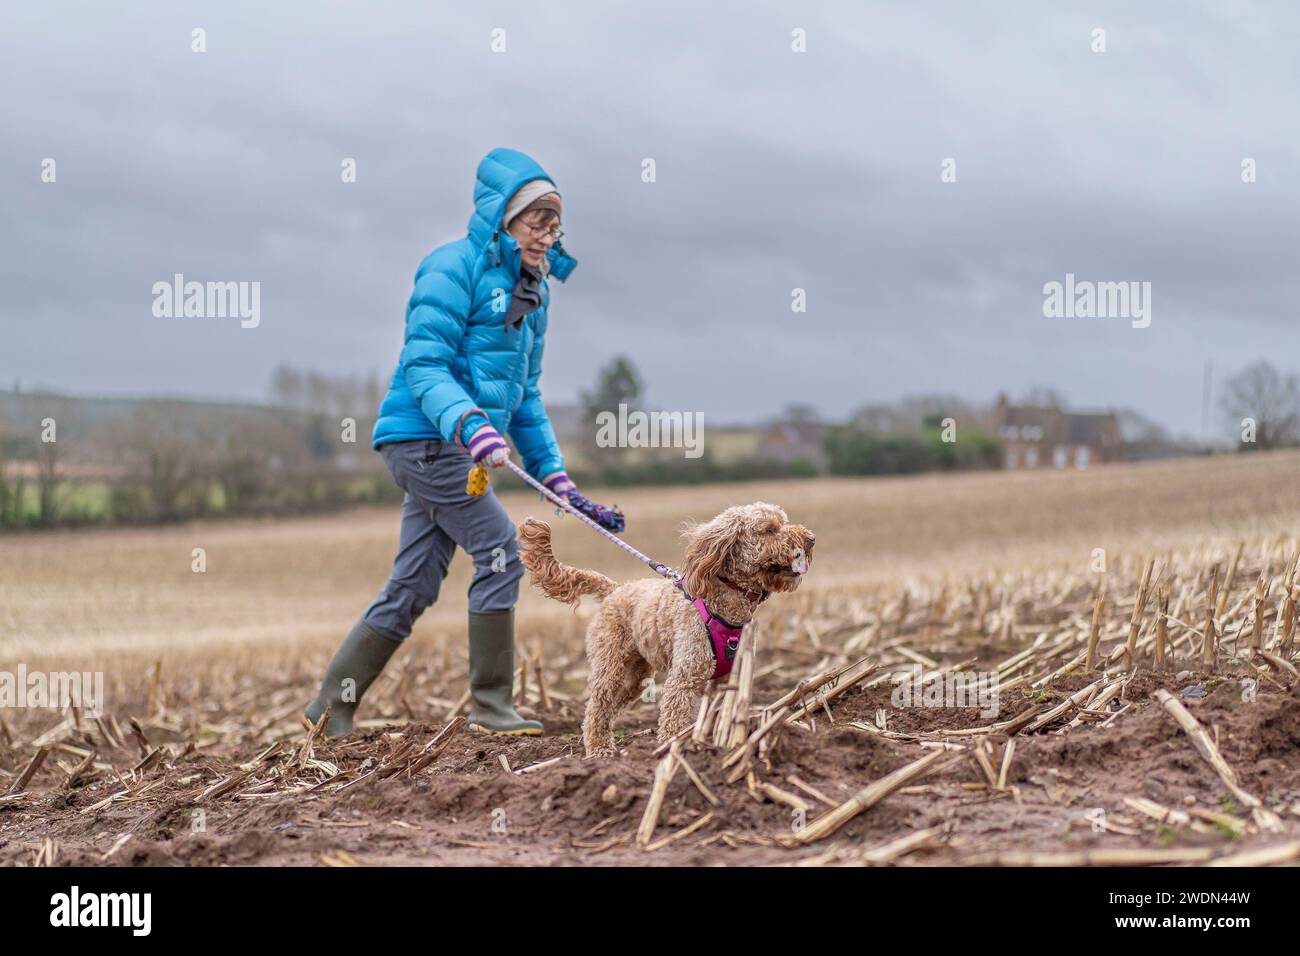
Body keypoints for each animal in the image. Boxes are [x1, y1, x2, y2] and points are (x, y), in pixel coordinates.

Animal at [517, 504, 811, 759]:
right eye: (770, 529)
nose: (811, 538)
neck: (723, 607)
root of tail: (614, 589)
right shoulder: (685, 676)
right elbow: (675, 717)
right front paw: (672, 750)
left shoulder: (727, 680)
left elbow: (719, 714)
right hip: (610, 665)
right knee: (596, 707)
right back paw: (599, 749)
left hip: (634, 677)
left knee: (610, 706)